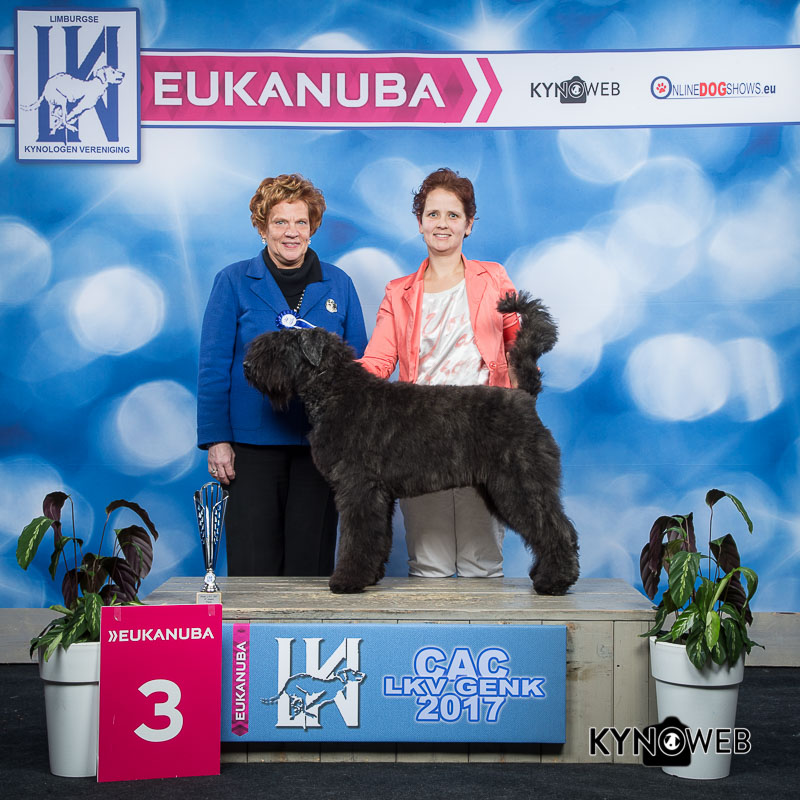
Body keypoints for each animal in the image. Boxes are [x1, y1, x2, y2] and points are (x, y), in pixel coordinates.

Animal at [244, 292, 579, 595]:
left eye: (281, 347)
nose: (247, 365)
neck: (335, 390)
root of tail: (524, 396)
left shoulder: (358, 488)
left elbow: (356, 536)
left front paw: (347, 581)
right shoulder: (377, 494)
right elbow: (377, 537)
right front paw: (369, 577)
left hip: (520, 484)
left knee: (555, 528)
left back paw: (554, 581)